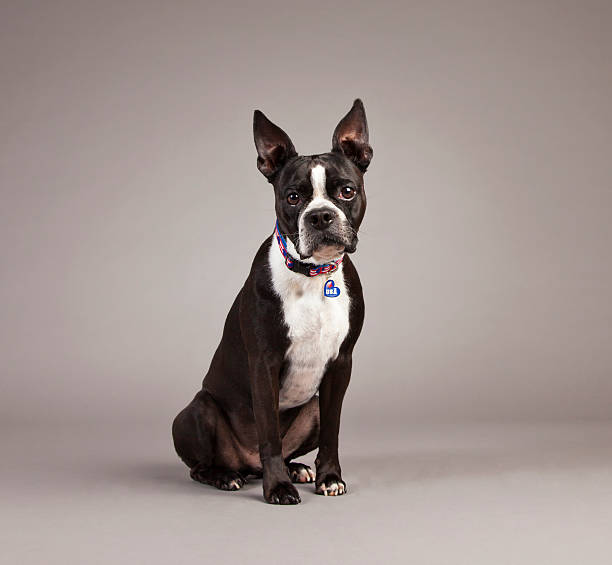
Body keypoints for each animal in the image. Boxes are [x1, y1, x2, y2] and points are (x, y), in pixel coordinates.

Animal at [172, 99, 372, 504]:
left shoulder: (341, 364)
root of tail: (246, 465)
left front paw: (329, 477)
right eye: (293, 197)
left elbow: (333, 433)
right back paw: (225, 476)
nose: (320, 216)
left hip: (311, 409)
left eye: (346, 191)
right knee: (200, 465)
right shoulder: (264, 363)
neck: (313, 275)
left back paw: (297, 468)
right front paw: (277, 486)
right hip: (198, 410)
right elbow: (268, 435)